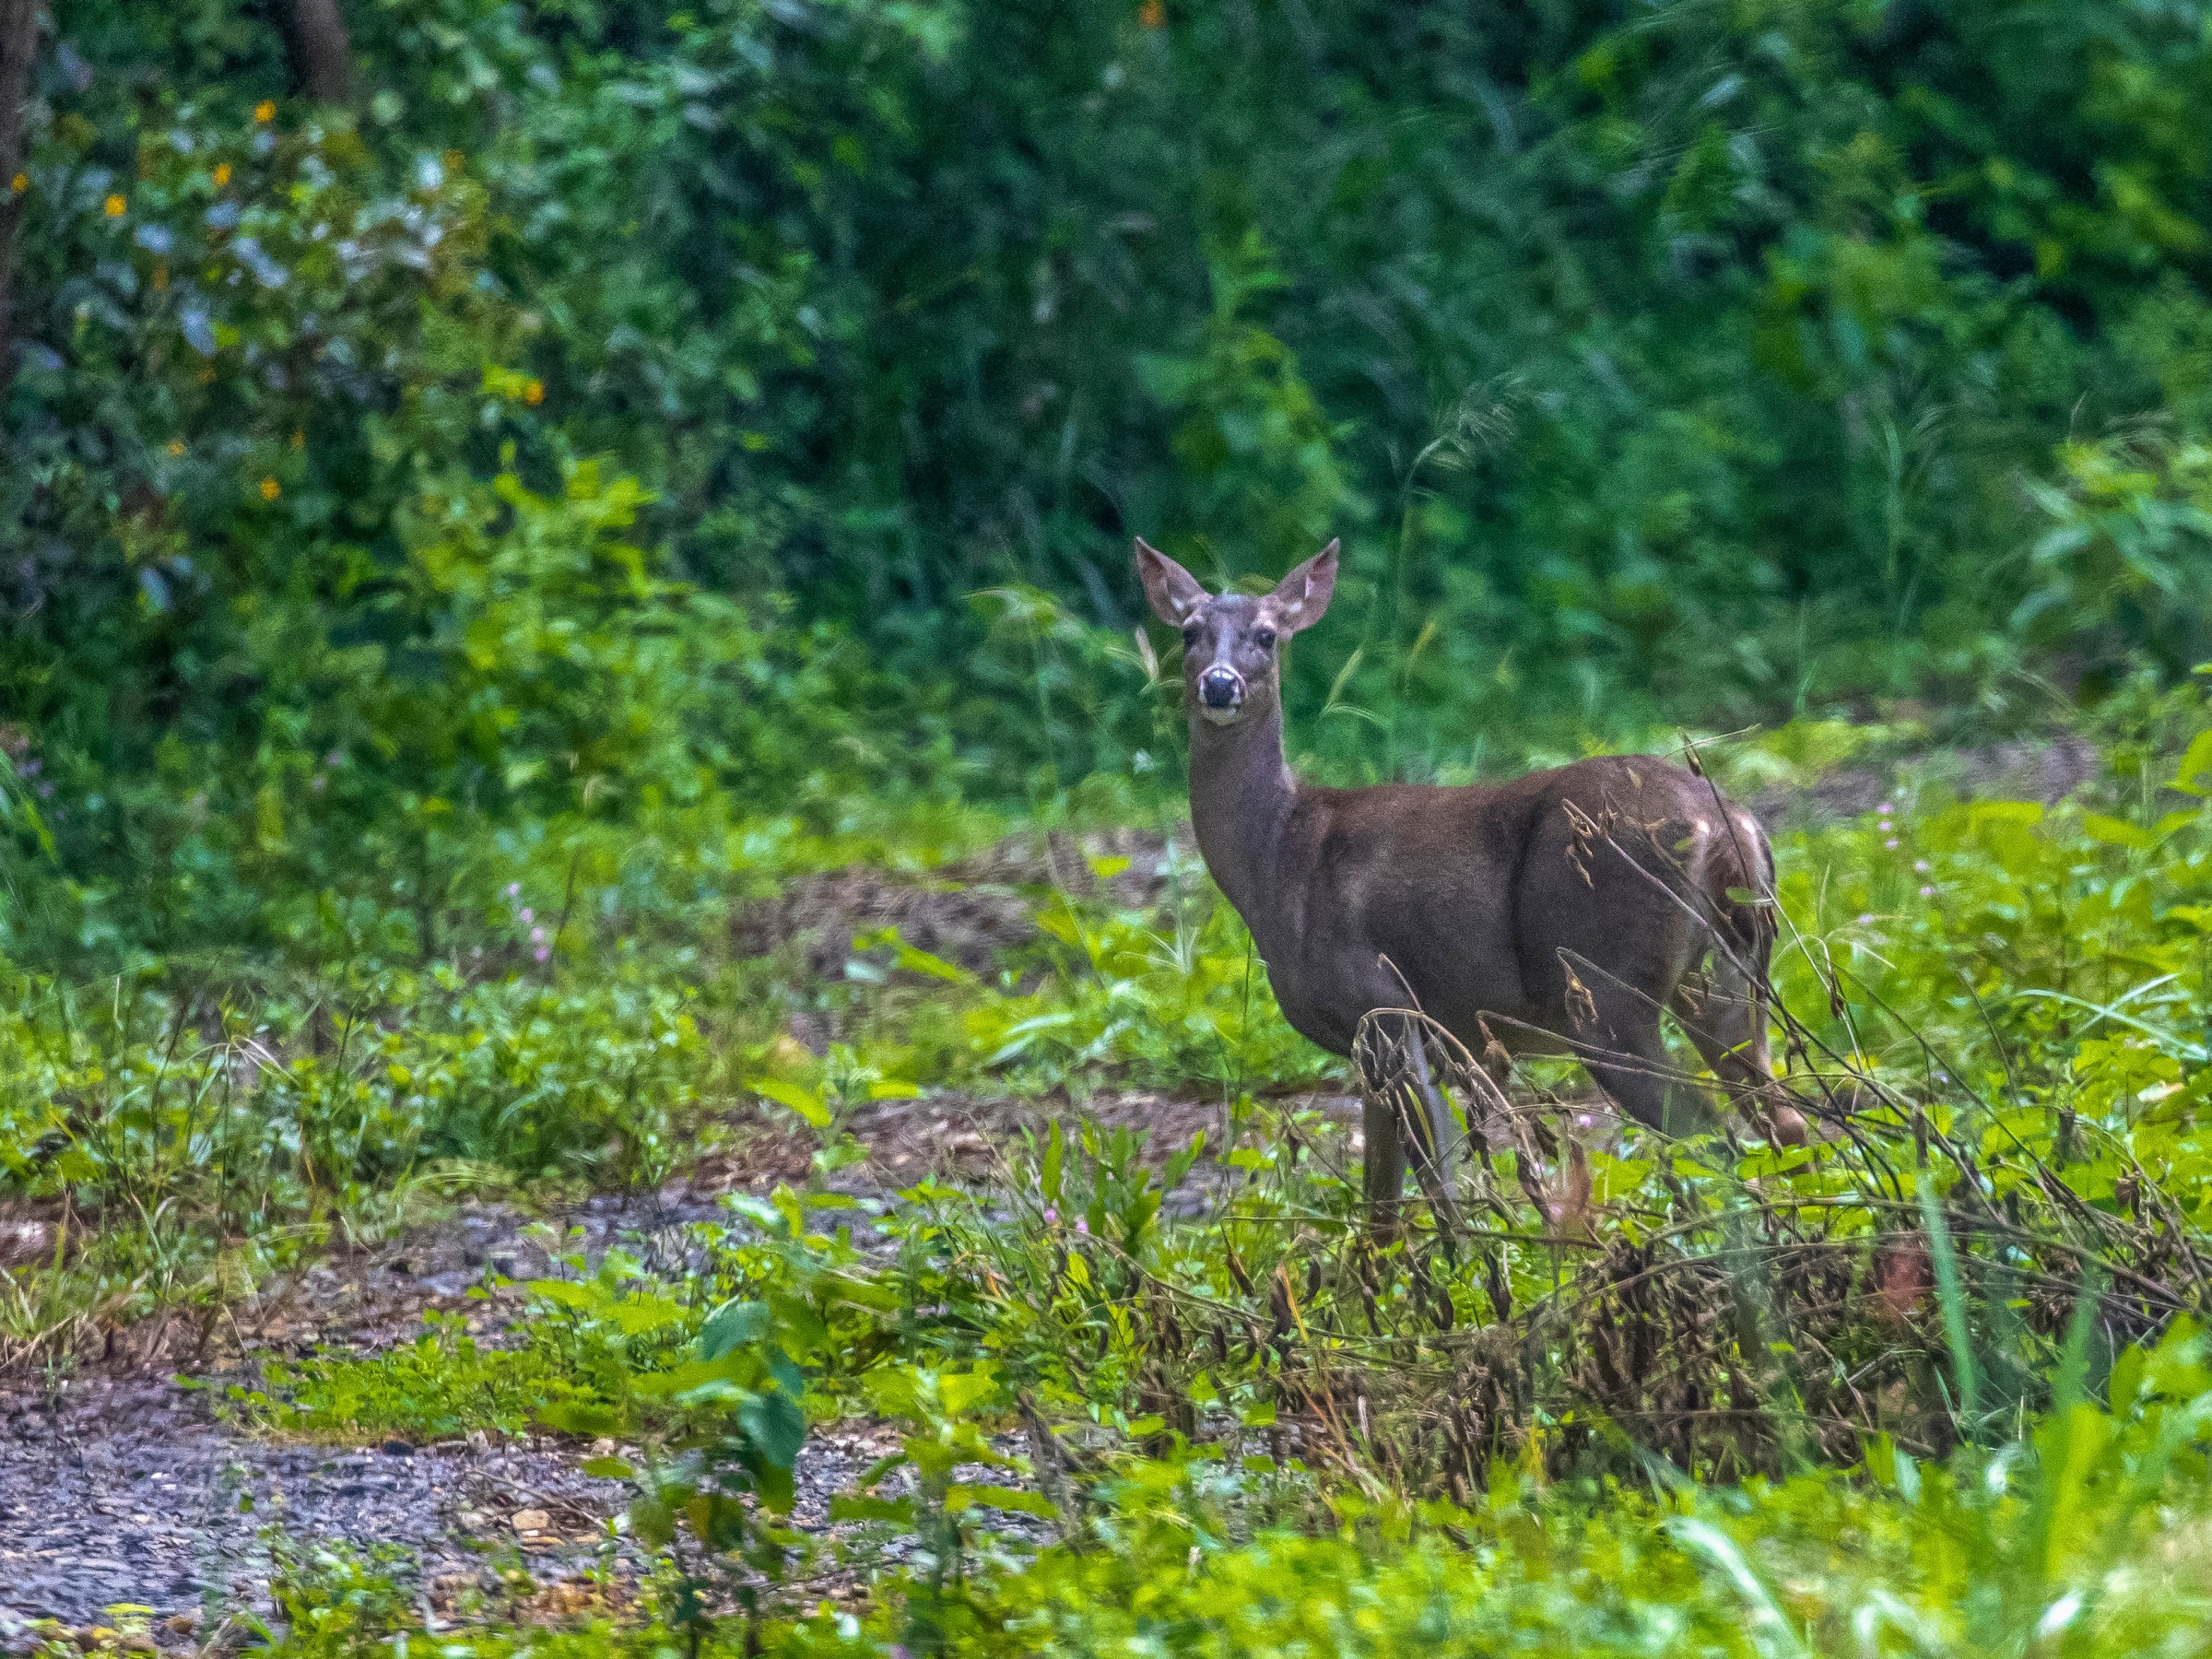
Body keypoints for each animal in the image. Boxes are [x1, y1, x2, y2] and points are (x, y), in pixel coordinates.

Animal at [1135, 536, 1791, 1232]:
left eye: (1266, 634)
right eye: (1188, 632)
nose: (1219, 683)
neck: (1282, 858)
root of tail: (1729, 825)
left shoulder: (1387, 1007)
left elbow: (1439, 1190)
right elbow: (1382, 1205)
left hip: (1604, 987)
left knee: (1710, 1136)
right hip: (1727, 978)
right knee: (1781, 1122)